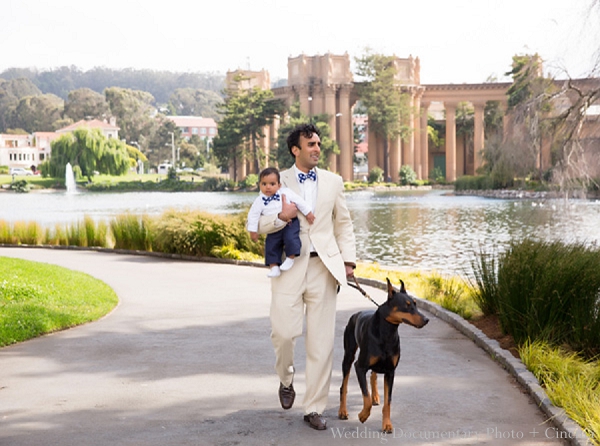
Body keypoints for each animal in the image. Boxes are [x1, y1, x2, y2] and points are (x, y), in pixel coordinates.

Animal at [340, 278, 428, 434]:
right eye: (406, 306)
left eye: (415, 304)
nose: (426, 319)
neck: (387, 332)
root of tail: (356, 314)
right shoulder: (359, 367)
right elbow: (366, 398)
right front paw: (363, 415)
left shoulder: (390, 371)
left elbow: (388, 402)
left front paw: (387, 424)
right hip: (348, 356)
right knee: (343, 387)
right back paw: (343, 411)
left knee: (373, 375)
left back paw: (375, 395)